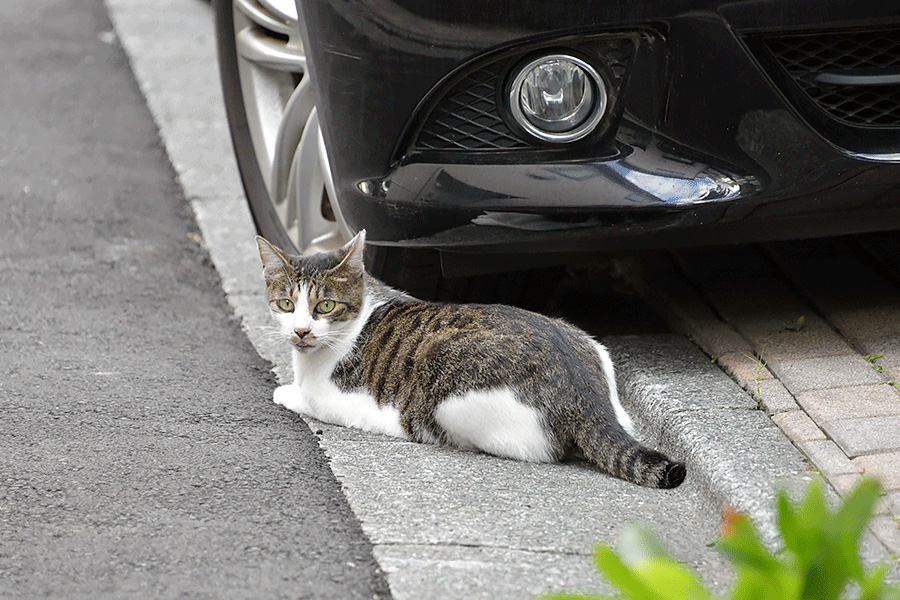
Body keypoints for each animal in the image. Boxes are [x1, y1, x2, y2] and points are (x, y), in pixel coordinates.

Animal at [256, 230, 684, 488]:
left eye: (325, 306)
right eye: (286, 304)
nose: (301, 331)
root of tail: (586, 394)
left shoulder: (332, 398)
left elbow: (303, 396)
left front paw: (284, 391)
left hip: (449, 393)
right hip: (592, 347)